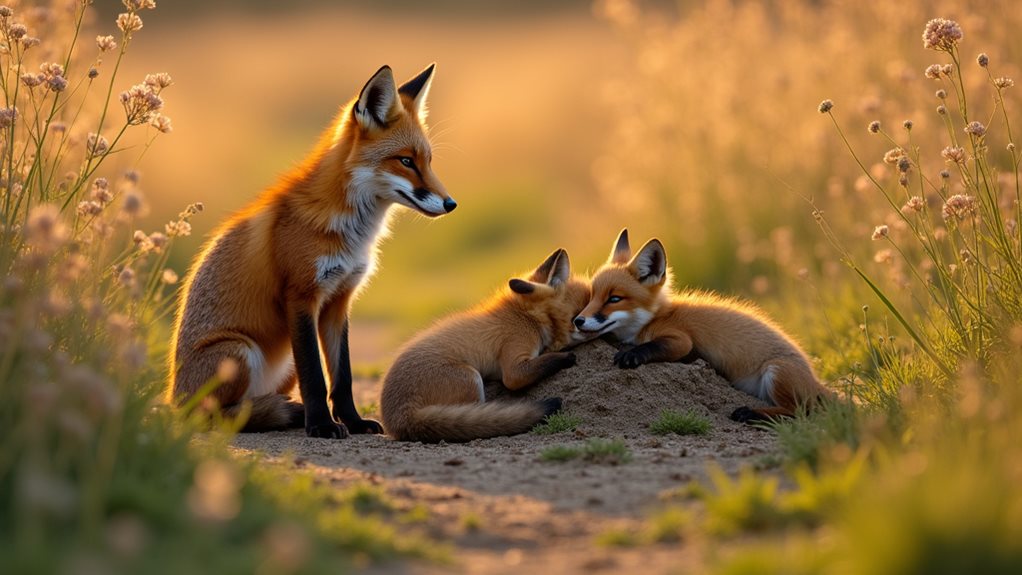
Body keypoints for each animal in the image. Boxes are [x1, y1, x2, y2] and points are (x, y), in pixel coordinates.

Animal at [170, 64, 457, 439]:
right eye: (406, 161)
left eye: (429, 161)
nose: (451, 204)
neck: (350, 231)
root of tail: (172, 400)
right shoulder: (301, 297)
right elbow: (316, 378)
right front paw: (321, 424)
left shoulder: (339, 301)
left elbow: (343, 377)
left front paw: (352, 421)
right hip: (239, 351)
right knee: (217, 415)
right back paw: (280, 415)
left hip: (280, 362)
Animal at [380, 248, 591, 443]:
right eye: (577, 317)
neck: (527, 315)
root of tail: (397, 420)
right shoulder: (515, 361)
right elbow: (525, 371)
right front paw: (566, 355)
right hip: (470, 378)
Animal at [573, 229, 834, 422]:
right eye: (591, 297)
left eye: (614, 299)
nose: (578, 320)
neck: (654, 318)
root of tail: (818, 383)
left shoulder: (681, 339)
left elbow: (654, 346)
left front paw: (631, 354)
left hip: (776, 371)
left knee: (797, 412)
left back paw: (751, 413)